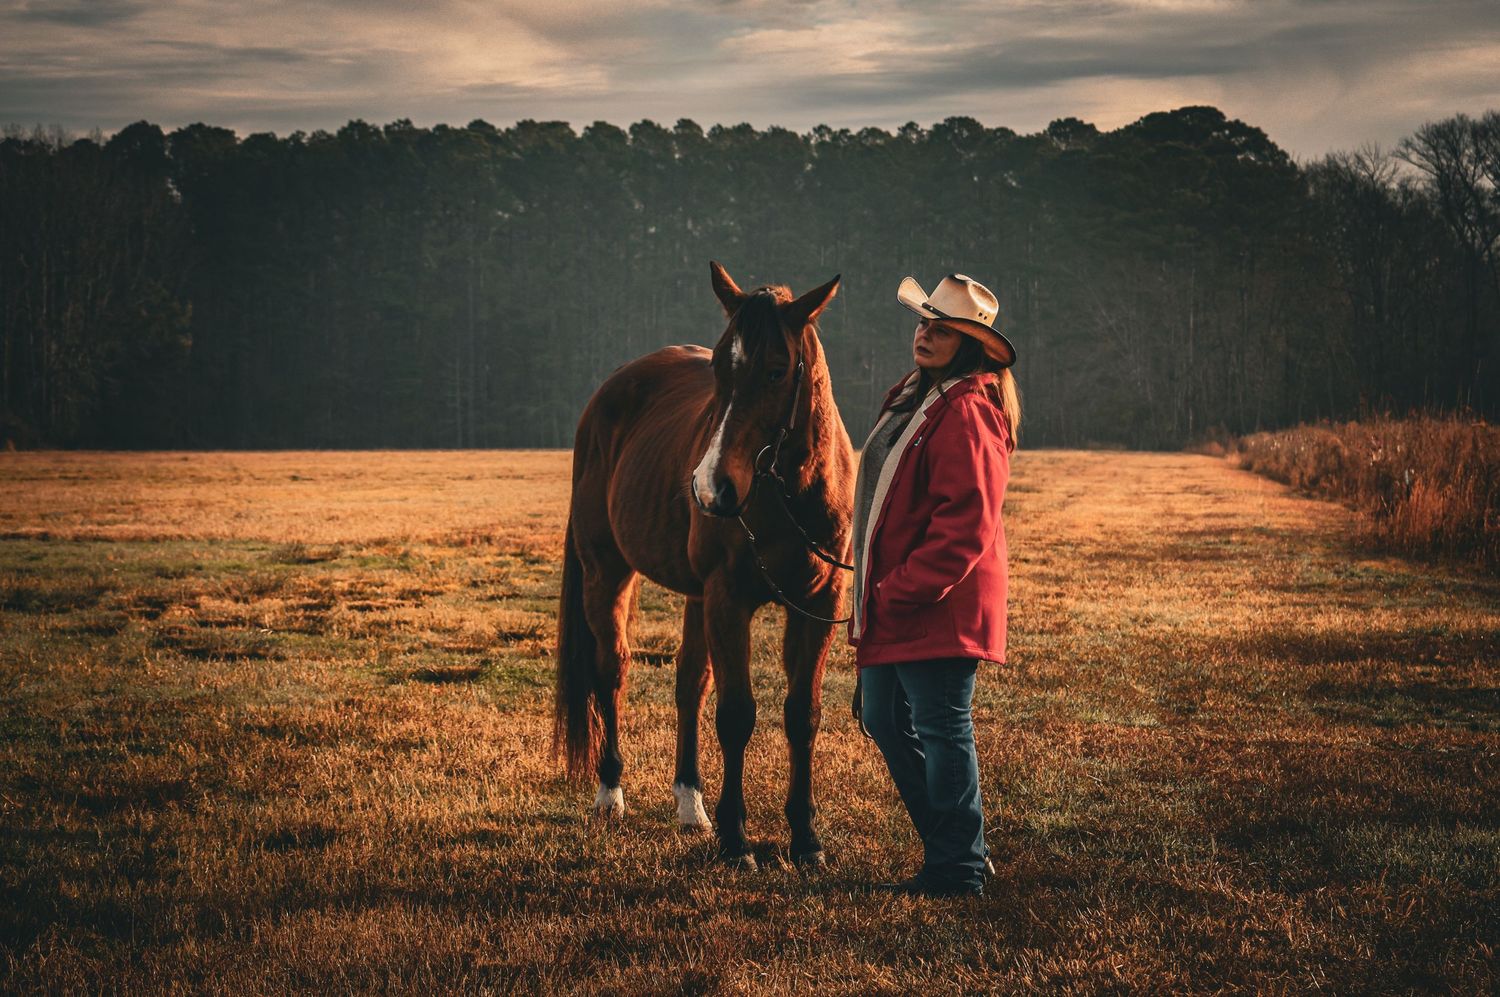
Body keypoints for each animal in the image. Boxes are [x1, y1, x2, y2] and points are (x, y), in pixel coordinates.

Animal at [554, 261, 855, 868]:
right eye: (718, 366)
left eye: (777, 370)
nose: (712, 487)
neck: (788, 493)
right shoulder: (728, 598)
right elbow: (737, 714)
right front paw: (737, 840)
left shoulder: (816, 603)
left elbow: (802, 714)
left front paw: (805, 838)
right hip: (606, 572)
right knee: (611, 670)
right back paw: (610, 792)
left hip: (694, 595)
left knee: (689, 681)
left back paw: (690, 803)